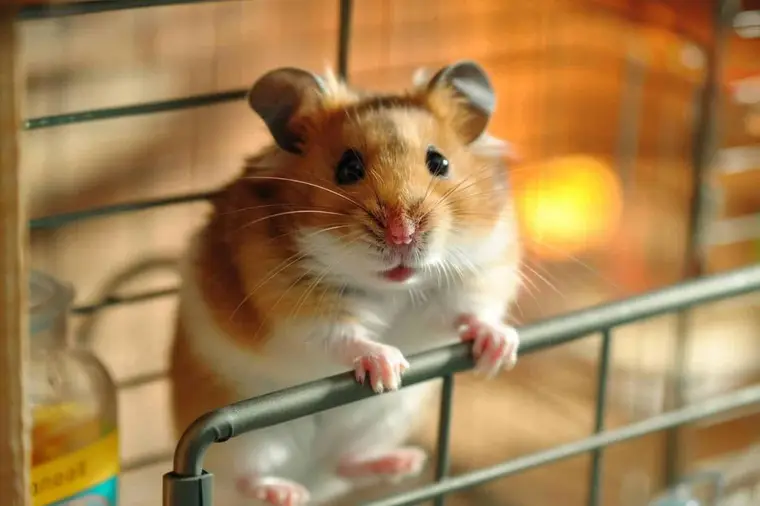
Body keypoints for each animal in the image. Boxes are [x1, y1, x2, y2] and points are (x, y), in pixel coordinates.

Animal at [169, 60, 522, 506]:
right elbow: (342, 336)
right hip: (251, 440)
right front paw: (389, 367)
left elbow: (471, 314)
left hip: (384, 422)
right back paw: (287, 493)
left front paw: (501, 352)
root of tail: (315, 480)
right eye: (348, 169)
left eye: (439, 163)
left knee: (345, 463)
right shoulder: (296, 308)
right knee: (247, 479)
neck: (392, 288)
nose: (402, 235)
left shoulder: (477, 275)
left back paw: (405, 463)